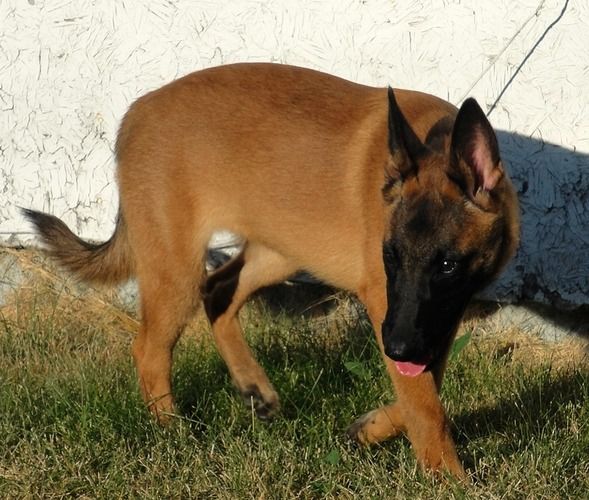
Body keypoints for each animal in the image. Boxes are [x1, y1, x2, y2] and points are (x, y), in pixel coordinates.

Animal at [24, 63, 519, 478]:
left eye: (448, 265)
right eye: (391, 256)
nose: (395, 347)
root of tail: (132, 115)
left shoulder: (432, 317)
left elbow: (425, 385)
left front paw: (371, 428)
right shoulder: (392, 306)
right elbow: (425, 405)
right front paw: (448, 478)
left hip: (284, 247)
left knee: (219, 291)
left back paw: (253, 387)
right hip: (176, 269)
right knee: (150, 348)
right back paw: (171, 431)